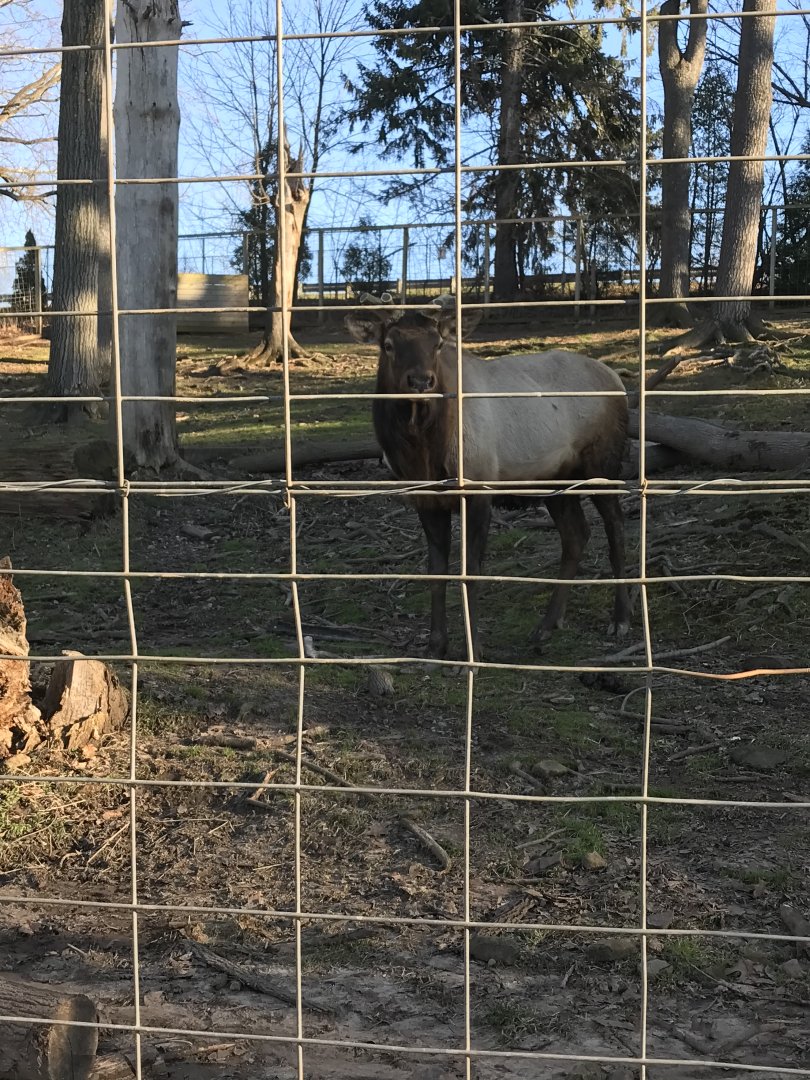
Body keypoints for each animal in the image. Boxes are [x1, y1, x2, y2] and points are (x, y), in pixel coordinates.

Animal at [346, 294, 630, 661]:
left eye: (438, 344)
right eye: (389, 345)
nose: (421, 382)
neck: (423, 452)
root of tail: (618, 381)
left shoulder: (479, 490)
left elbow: (472, 573)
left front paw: (473, 653)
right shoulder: (425, 499)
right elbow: (436, 570)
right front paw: (435, 646)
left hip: (603, 464)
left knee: (616, 529)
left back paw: (621, 618)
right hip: (554, 479)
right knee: (576, 535)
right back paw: (547, 624)